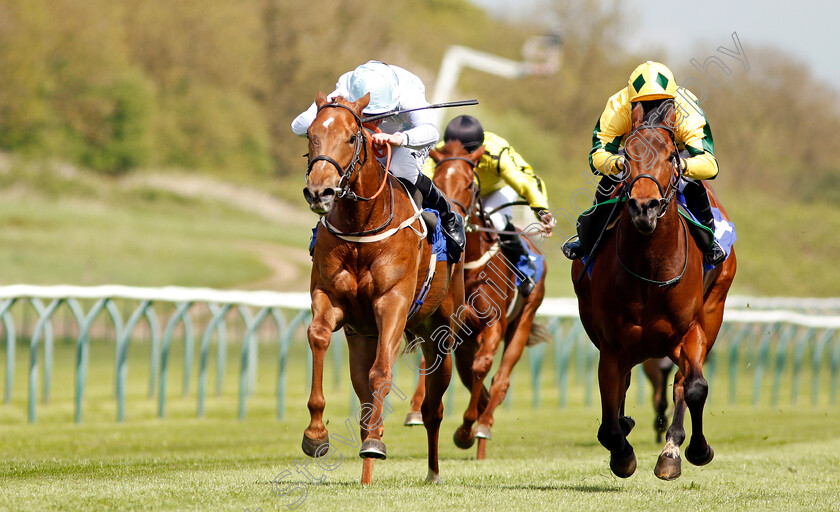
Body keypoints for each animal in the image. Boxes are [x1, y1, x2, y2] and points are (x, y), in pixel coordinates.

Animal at [302, 93, 462, 484]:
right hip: (363, 336)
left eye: (350, 137)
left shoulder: (393, 304)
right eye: (311, 134)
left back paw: (432, 471)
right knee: (363, 393)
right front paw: (316, 434)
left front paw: (375, 443)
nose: (319, 191)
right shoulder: (332, 300)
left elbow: (381, 373)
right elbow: (318, 337)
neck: (361, 226)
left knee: (433, 407)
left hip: (441, 330)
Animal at [404, 139, 548, 460]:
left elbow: (482, 368)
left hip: (522, 320)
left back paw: (482, 424)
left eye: (470, 183)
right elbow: (432, 362)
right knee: (469, 377)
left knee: (500, 379)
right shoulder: (447, 325)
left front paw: (467, 428)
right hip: (467, 342)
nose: (451, 215)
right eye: (437, 179)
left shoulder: (493, 322)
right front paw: (417, 411)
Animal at [572, 100, 736, 480]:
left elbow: (694, 387)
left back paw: (671, 446)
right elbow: (609, 415)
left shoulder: (690, 332)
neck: (650, 270)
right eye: (627, 155)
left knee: (681, 382)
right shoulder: (612, 344)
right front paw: (622, 453)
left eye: (670, 156)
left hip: (712, 312)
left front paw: (692, 450)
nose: (644, 207)